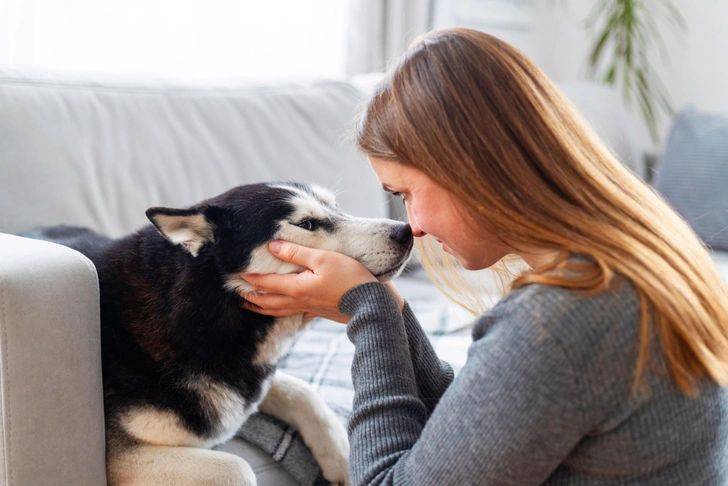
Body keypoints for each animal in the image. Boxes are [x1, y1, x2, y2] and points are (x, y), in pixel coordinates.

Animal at [24, 183, 416, 486]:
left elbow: (303, 393)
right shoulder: (120, 458)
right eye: (306, 224)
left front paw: (343, 459)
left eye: (335, 208)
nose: (406, 231)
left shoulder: (247, 379)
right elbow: (237, 469)